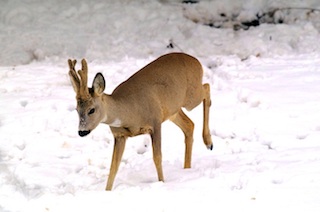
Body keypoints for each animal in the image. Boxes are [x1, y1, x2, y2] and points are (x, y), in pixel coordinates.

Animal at [68, 52, 212, 190]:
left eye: (91, 110)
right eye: (76, 109)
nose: (82, 131)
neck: (130, 112)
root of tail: (197, 61)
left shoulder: (155, 122)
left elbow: (157, 157)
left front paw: (162, 182)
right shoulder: (119, 135)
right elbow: (114, 167)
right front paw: (107, 191)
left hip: (191, 98)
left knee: (206, 88)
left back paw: (209, 143)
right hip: (172, 111)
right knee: (189, 125)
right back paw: (187, 168)